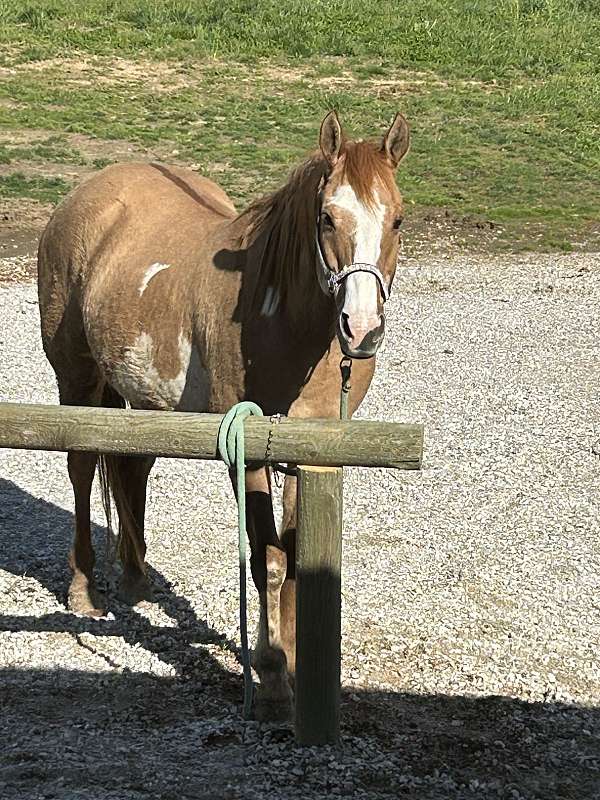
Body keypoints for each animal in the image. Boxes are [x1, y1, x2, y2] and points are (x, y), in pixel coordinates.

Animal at [37, 110, 410, 721]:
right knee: (82, 467)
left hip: (149, 402)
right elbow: (269, 560)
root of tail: (86, 194)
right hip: (77, 379)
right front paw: (274, 675)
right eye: (326, 217)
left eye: (398, 219)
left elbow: (297, 557)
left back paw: (136, 579)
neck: (284, 318)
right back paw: (83, 590)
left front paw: (296, 660)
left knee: (131, 470)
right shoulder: (251, 455)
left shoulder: (310, 456)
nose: (361, 329)